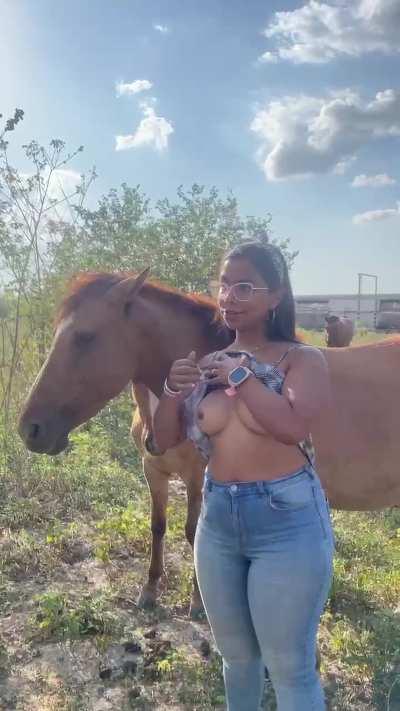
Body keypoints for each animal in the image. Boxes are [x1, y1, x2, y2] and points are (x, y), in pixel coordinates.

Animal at [18, 270, 400, 614]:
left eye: (85, 336)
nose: (29, 429)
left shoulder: (198, 477)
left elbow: (193, 532)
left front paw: (198, 600)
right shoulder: (152, 470)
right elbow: (158, 526)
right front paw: (150, 589)